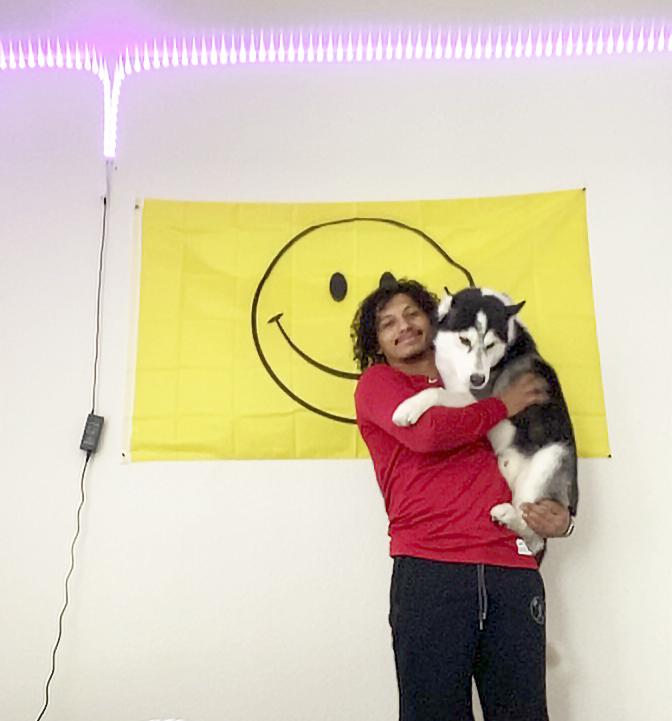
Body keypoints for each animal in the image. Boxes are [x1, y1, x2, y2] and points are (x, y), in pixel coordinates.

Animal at [394, 286, 576, 552]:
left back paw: (509, 516)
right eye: (465, 340)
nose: (478, 378)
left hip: (551, 460)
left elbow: (436, 392)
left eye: (490, 345)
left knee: (533, 534)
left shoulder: (476, 397)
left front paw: (408, 407)